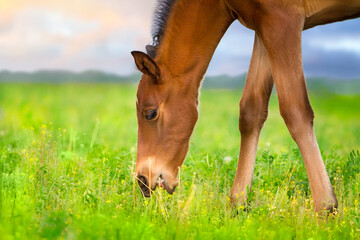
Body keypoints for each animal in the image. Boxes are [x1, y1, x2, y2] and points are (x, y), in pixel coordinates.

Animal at [131, 0, 360, 212]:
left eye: (150, 113)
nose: (142, 180)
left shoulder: (282, 21)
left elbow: (295, 110)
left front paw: (326, 207)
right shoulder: (263, 25)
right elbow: (251, 111)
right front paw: (237, 204)